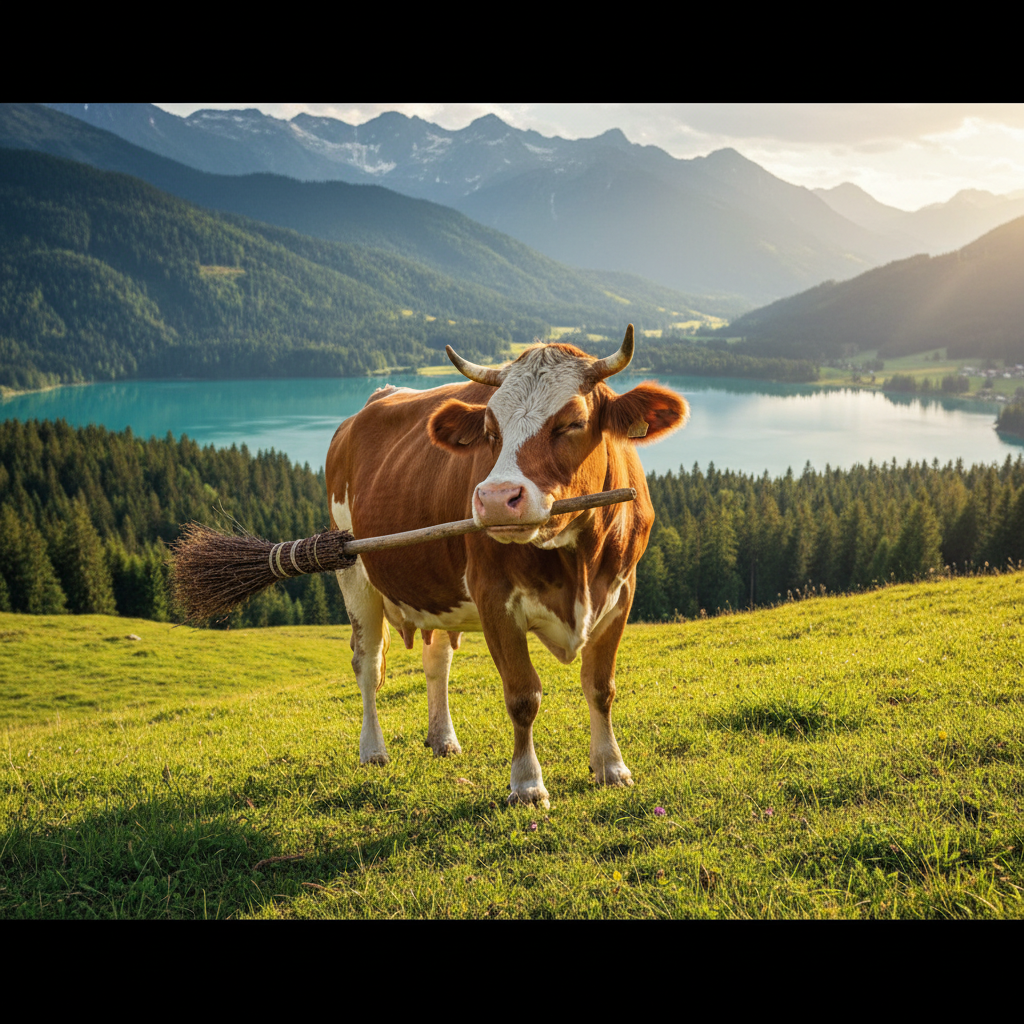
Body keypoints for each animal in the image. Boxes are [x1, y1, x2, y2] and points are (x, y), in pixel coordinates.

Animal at [326, 325, 688, 808]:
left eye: (572, 422)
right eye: (489, 429)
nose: (497, 498)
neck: (578, 565)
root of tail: (374, 401)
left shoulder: (621, 591)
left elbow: (601, 686)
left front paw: (611, 766)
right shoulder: (493, 595)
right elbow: (522, 695)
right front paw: (527, 785)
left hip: (437, 592)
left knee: (436, 661)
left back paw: (443, 739)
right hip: (352, 571)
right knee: (367, 664)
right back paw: (373, 751)